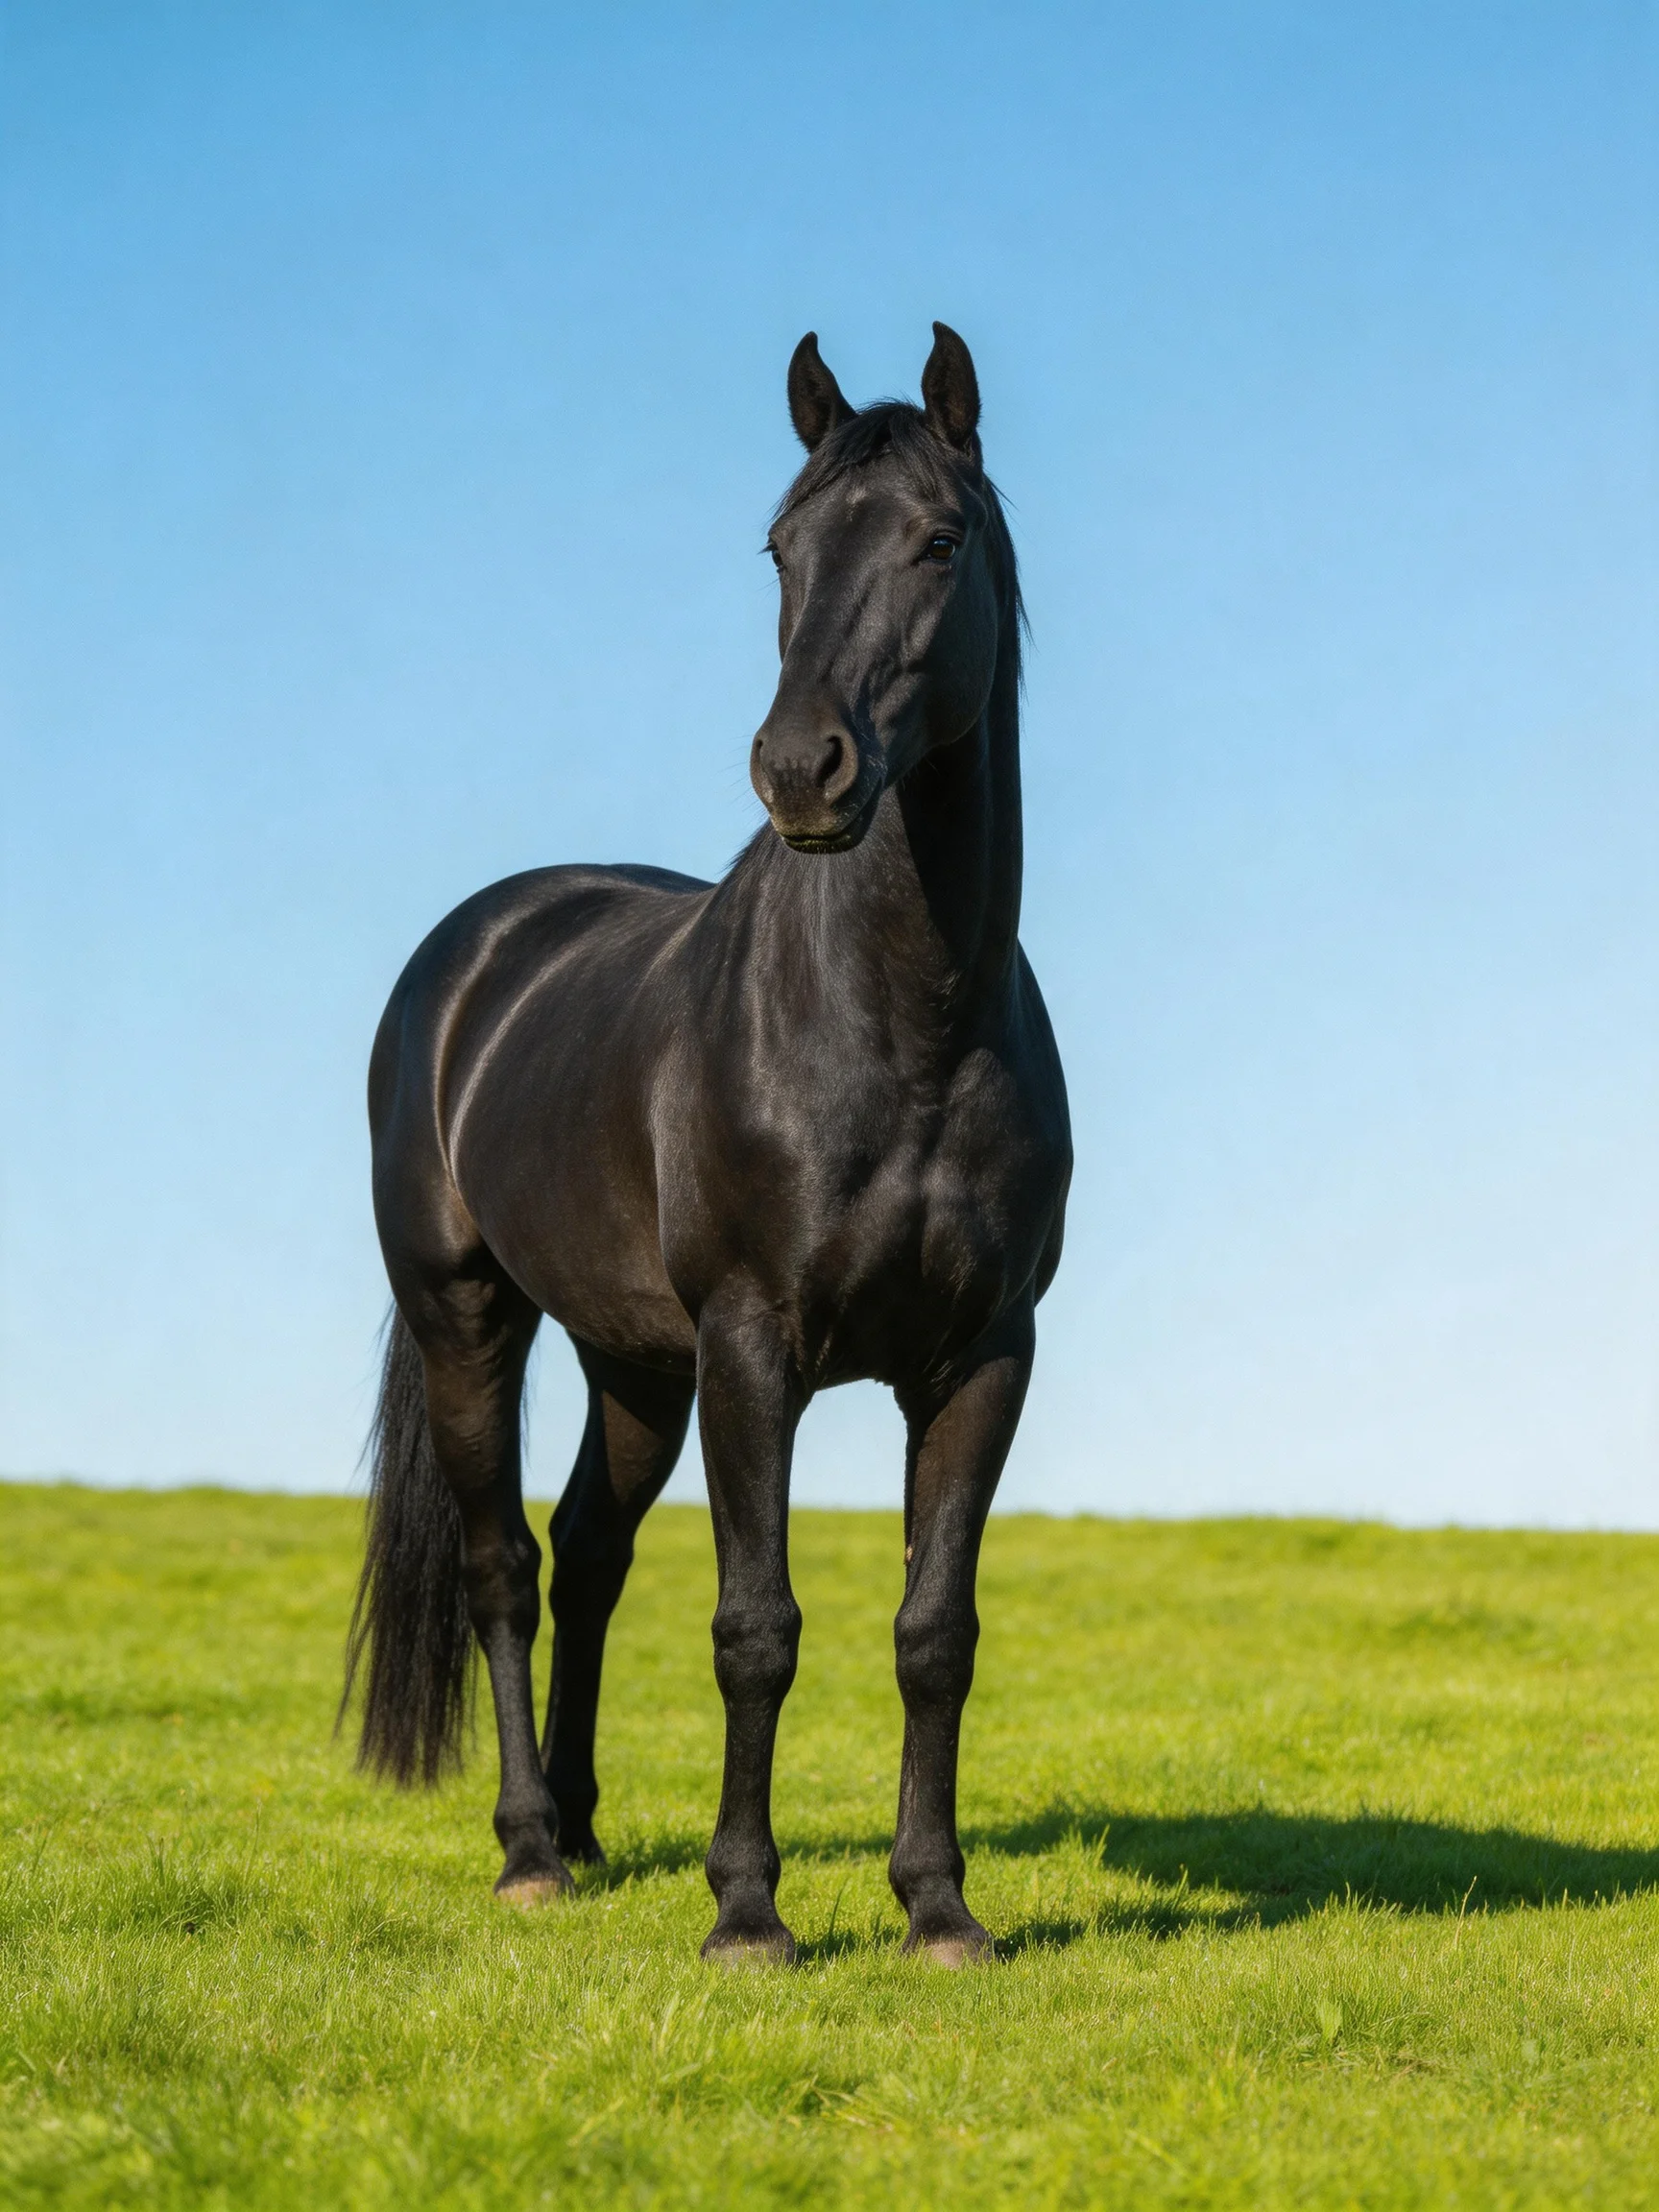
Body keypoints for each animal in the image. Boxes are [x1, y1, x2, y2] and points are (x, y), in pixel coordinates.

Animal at [345, 323, 1071, 1966]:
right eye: (781, 546)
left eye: (940, 540)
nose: (800, 770)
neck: (904, 1028)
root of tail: (476, 952)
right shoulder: (754, 1345)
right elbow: (758, 1628)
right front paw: (748, 1913)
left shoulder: (985, 1355)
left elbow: (936, 1633)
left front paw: (939, 1908)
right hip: (471, 1316)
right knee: (507, 1567)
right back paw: (530, 1849)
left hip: (634, 1363)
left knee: (590, 1553)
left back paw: (588, 1826)